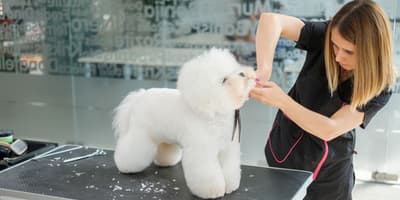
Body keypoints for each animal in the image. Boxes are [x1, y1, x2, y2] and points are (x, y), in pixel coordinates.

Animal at [112, 48, 256, 198]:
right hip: (141, 135)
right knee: (130, 149)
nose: (243, 73)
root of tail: (139, 96)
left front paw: (230, 186)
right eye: (223, 80)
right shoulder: (202, 150)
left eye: (234, 69)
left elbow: (229, 169)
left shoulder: (227, 149)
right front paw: (212, 191)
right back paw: (125, 166)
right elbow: (207, 172)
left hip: (163, 136)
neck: (214, 114)